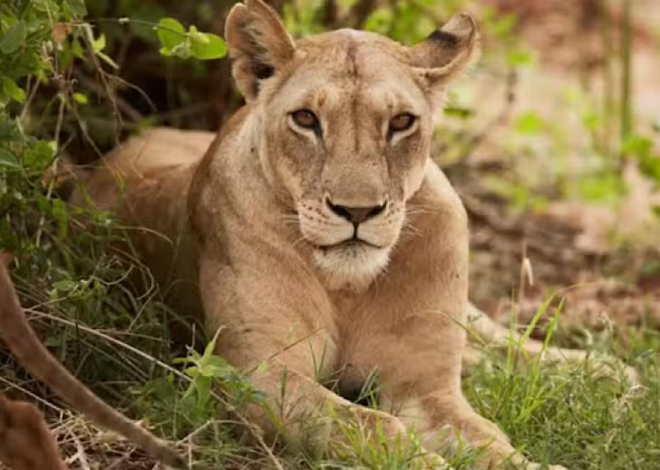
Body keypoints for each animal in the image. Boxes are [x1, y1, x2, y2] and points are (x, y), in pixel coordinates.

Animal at [66, 0, 634, 468]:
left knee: (496, 338)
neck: (349, 285)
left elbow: (489, 439)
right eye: (306, 119)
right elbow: (377, 429)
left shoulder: (425, 387)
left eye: (401, 122)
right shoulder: (261, 376)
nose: (357, 210)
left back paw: (605, 371)